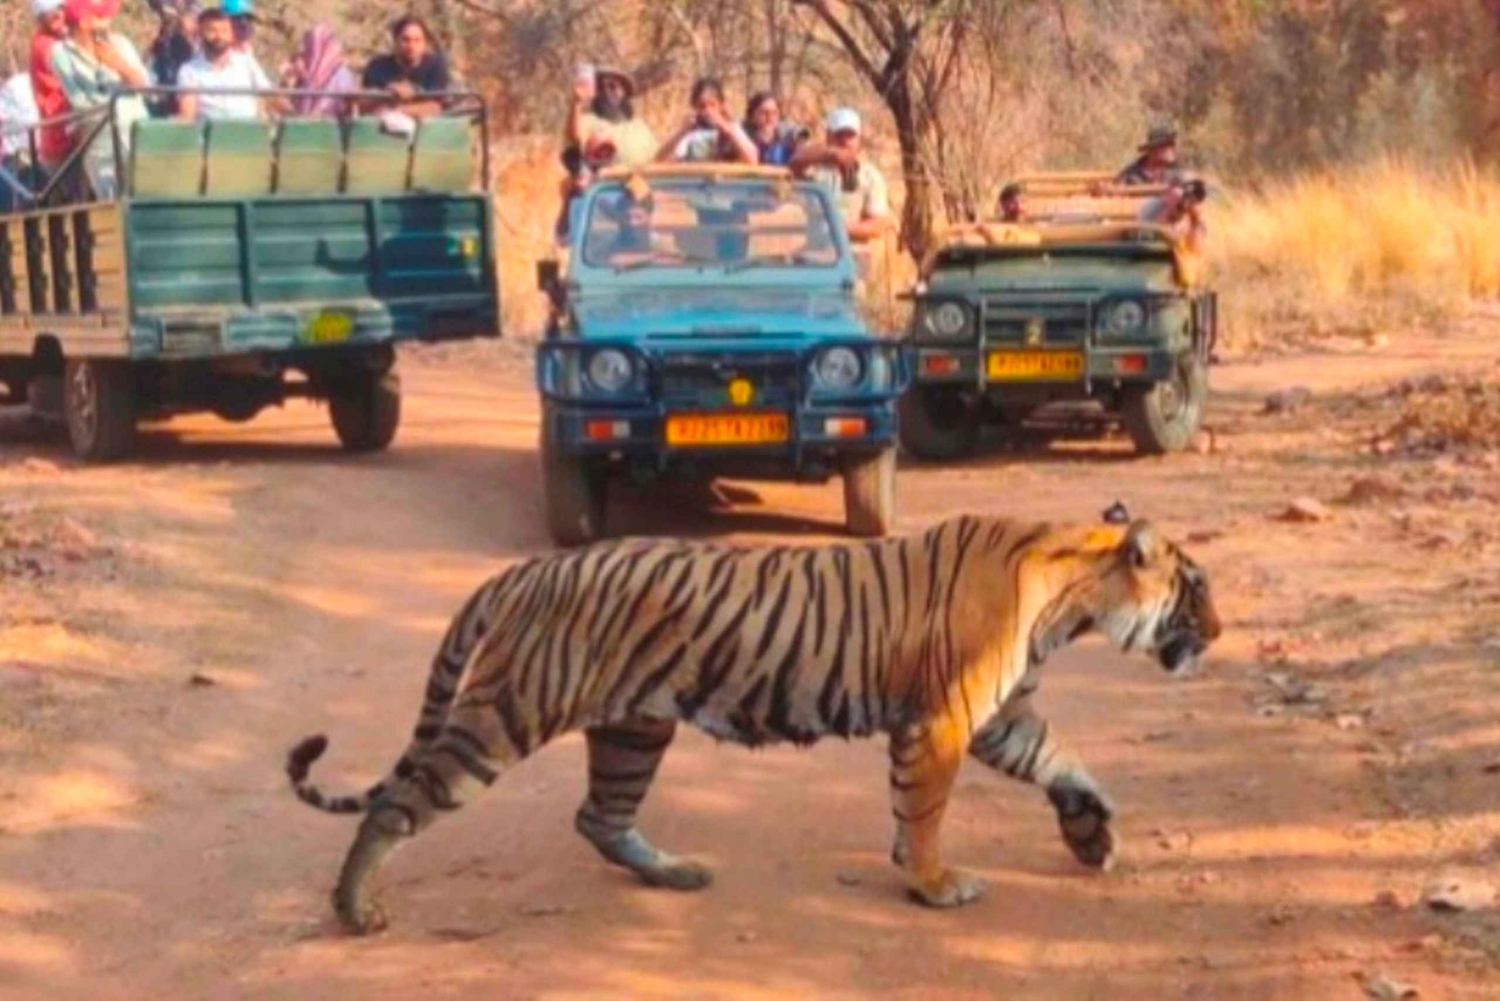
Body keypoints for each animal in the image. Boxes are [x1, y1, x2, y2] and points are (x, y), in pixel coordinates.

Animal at [286, 511, 1220, 934]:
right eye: (1196, 590)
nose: (1217, 632)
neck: (1071, 597)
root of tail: (524, 571)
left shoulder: (1000, 717)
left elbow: (1064, 759)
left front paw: (1093, 833)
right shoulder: (943, 721)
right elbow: (923, 812)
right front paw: (931, 884)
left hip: (634, 726)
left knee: (598, 814)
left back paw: (674, 873)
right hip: (505, 715)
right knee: (397, 801)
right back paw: (355, 906)